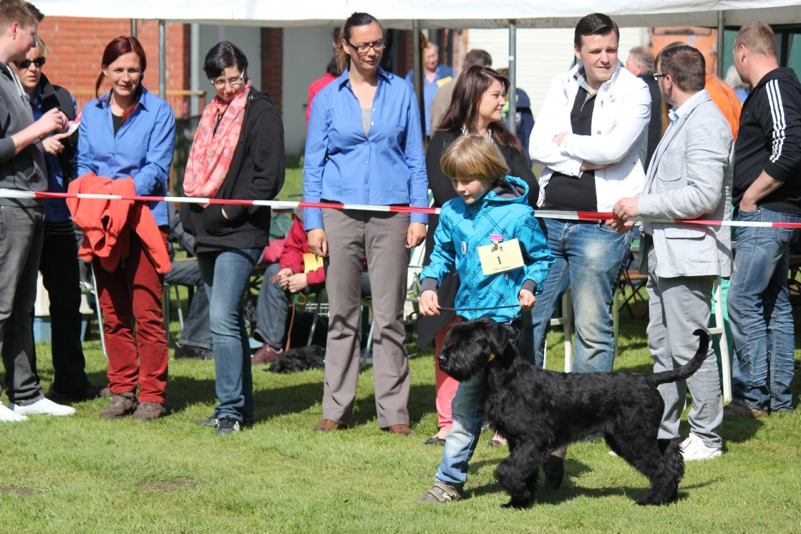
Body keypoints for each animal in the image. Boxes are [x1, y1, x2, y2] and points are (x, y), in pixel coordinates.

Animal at [440, 318, 708, 510]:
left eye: (469, 340)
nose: (442, 358)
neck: (509, 377)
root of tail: (649, 379)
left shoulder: (535, 439)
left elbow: (507, 469)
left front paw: (519, 493)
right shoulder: (519, 441)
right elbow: (524, 471)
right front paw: (518, 502)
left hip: (632, 438)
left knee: (661, 468)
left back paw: (652, 500)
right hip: (630, 437)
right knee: (670, 451)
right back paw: (670, 495)